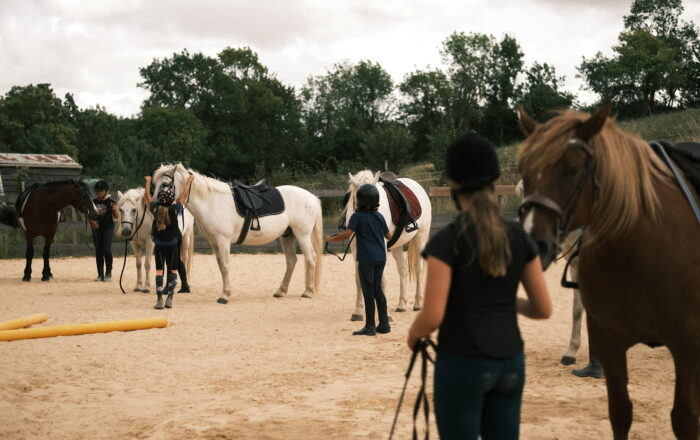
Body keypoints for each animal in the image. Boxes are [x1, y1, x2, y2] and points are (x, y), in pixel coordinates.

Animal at [152, 163, 324, 304]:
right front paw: (225, 292)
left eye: (165, 184)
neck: (212, 202)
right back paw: (280, 291)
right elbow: (221, 266)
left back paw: (307, 291)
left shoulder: (223, 241)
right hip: (288, 236)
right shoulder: (214, 243)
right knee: (291, 261)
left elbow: (226, 265)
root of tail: (312, 197)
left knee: (310, 258)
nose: (153, 205)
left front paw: (225, 296)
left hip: (302, 235)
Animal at [344, 169, 432, 320]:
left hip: (420, 237)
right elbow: (359, 278)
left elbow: (381, 278)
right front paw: (358, 311)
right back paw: (401, 305)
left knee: (418, 268)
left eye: (375, 198)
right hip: (397, 244)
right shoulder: (356, 248)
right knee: (403, 269)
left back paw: (417, 304)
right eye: (359, 198)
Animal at [516, 104, 700, 440]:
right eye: (523, 172)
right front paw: (580, 357)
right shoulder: (612, 338)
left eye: (573, 169)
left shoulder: (688, 346)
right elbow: (620, 412)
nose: (533, 243)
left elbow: (685, 418)